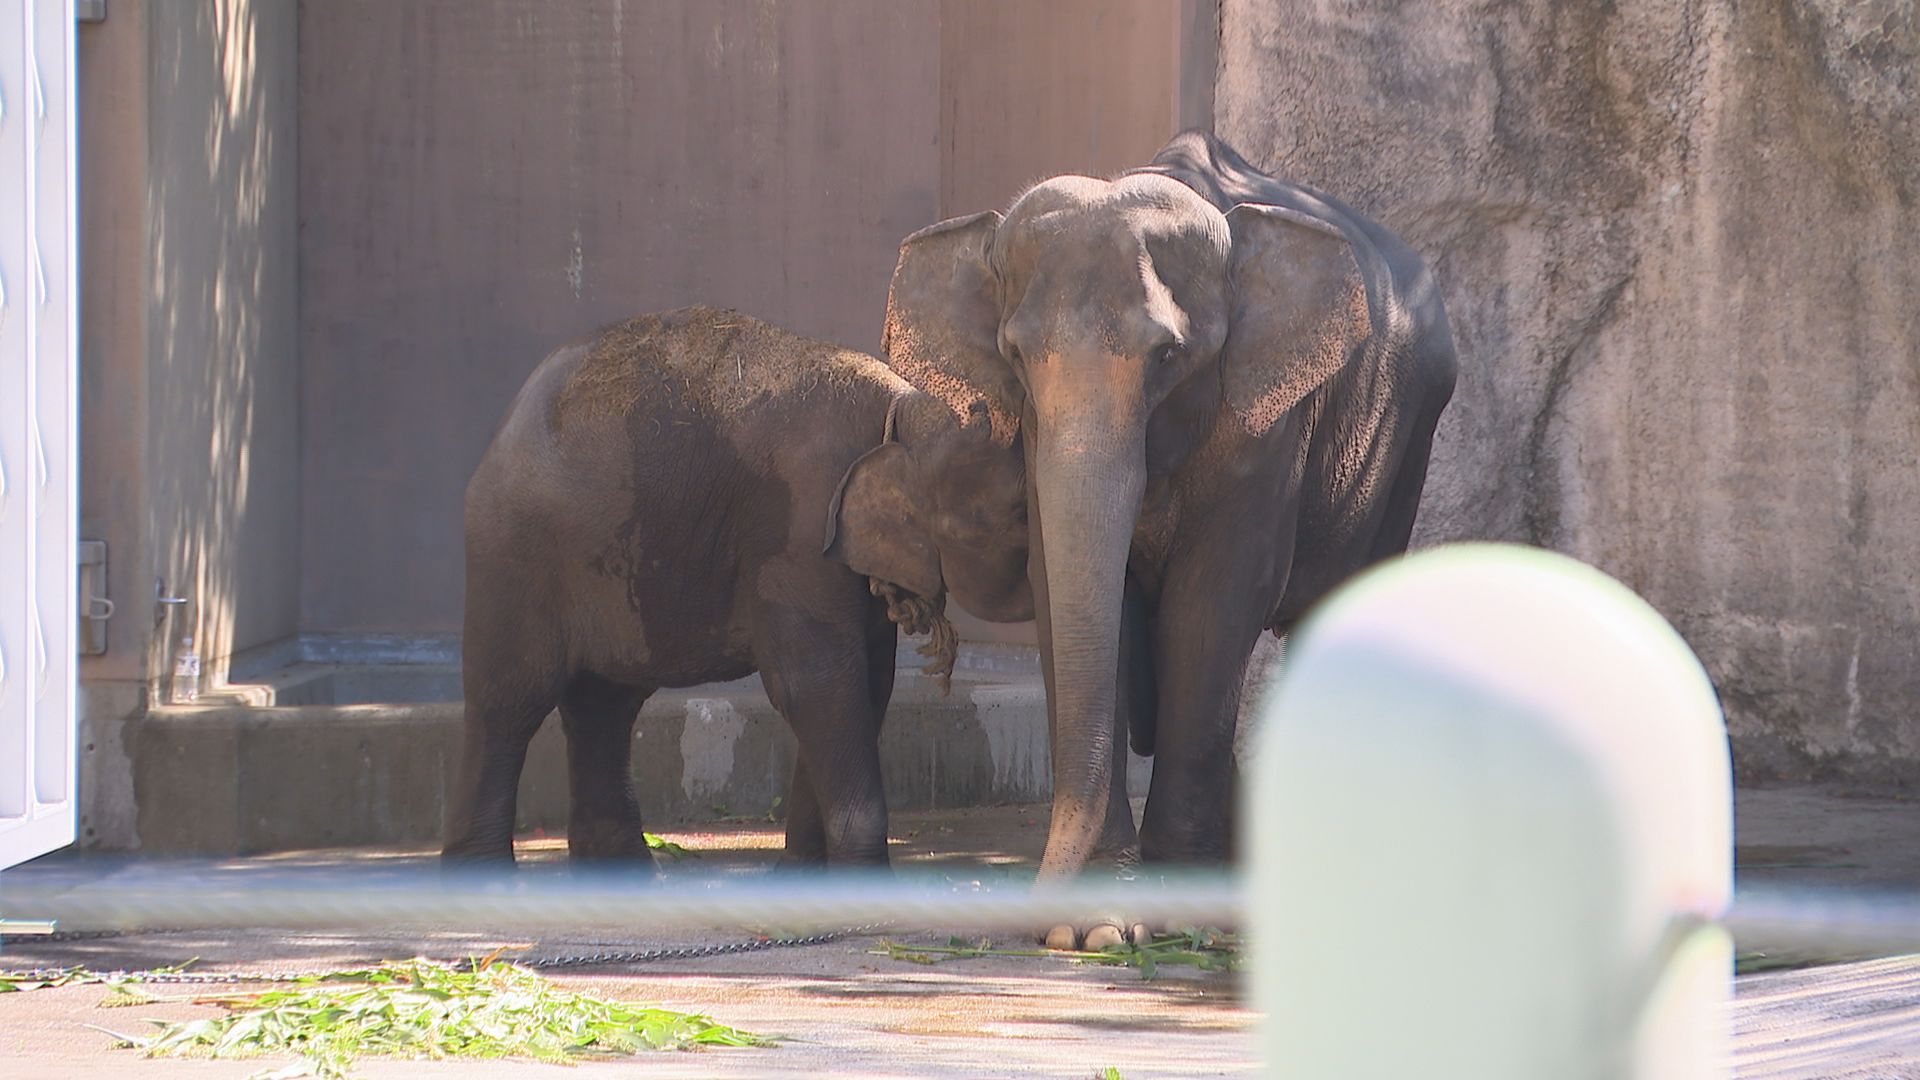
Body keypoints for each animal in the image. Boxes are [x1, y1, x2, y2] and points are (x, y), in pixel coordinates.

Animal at [441, 303, 1029, 864]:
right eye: (1016, 518)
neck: (906, 407)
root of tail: (507, 424)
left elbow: (868, 684)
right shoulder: (798, 535)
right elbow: (813, 685)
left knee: (603, 704)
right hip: (515, 557)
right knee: (510, 699)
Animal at [883, 132, 1451, 941]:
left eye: (1169, 357)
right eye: (1015, 358)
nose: (1034, 918)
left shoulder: (1266, 424)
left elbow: (1213, 603)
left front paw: (1186, 917)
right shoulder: (1035, 438)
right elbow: (1076, 595)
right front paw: (1098, 928)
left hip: (1404, 448)